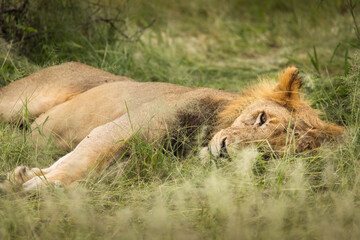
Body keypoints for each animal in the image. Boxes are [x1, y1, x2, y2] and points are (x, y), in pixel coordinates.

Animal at [0, 62, 344, 191]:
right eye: (261, 118)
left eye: (270, 153)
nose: (224, 150)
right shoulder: (122, 127)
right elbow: (82, 160)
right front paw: (33, 183)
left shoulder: (128, 170)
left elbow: (84, 168)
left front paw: (32, 177)